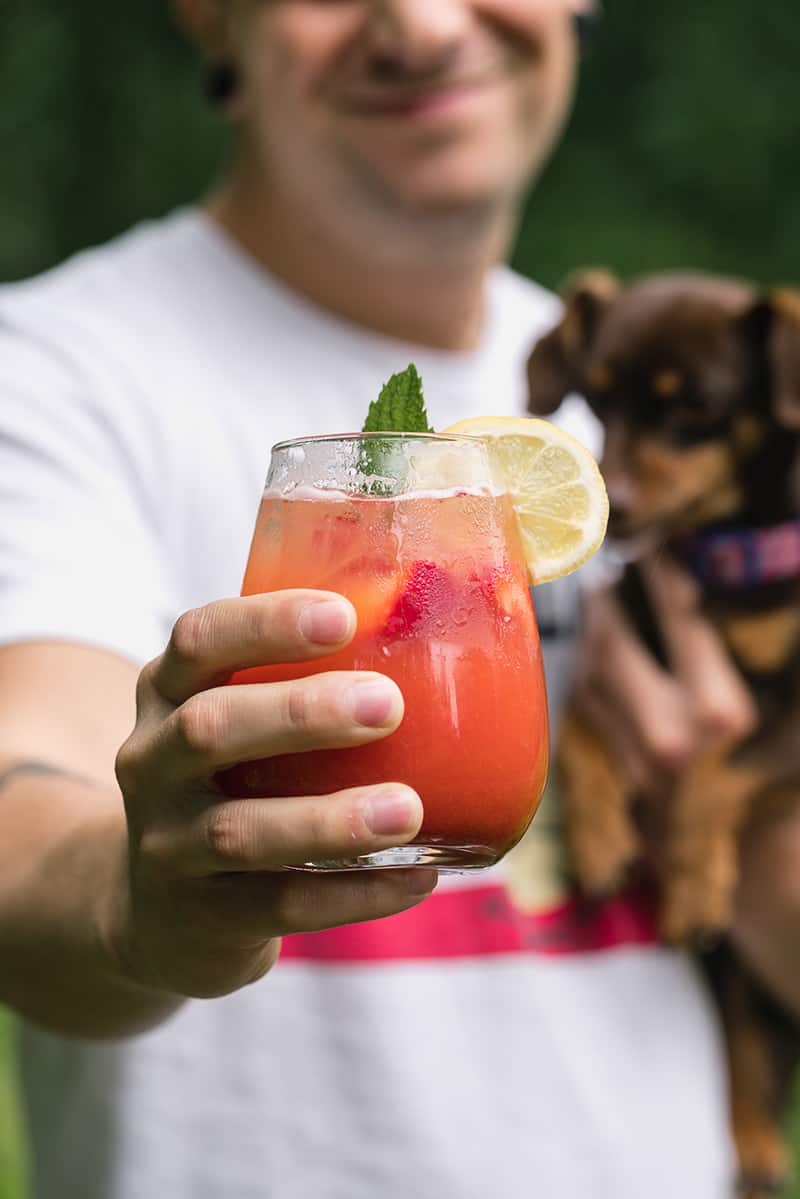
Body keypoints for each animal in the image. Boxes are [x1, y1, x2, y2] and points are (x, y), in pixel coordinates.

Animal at [527, 274, 800, 1199]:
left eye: (696, 410)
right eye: (597, 396)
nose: (622, 506)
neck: (721, 562)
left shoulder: (794, 715)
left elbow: (718, 765)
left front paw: (691, 878)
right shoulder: (627, 649)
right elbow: (578, 727)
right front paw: (601, 837)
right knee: (749, 1048)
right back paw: (754, 1146)